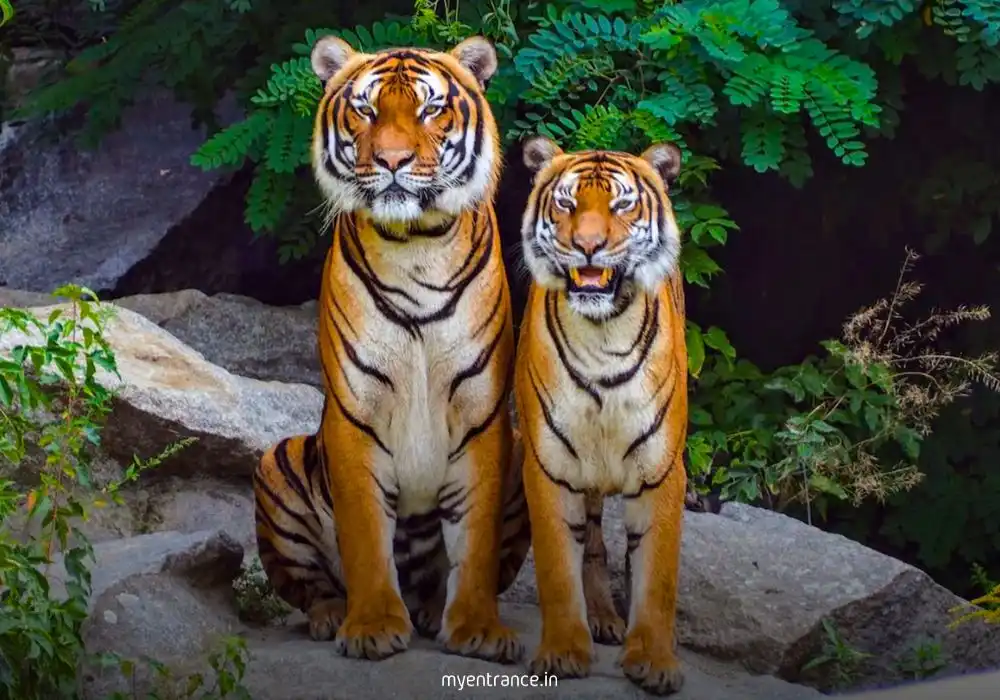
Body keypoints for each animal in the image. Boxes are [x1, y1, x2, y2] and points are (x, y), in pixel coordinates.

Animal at [252, 35, 530, 665]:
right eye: (366, 109)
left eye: (430, 110)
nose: (393, 161)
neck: (416, 244)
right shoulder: (356, 412)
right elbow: (363, 533)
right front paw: (373, 626)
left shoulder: (481, 416)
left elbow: (474, 543)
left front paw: (477, 628)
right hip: (278, 460)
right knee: (309, 586)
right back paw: (334, 615)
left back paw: (431, 609)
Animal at [513, 136, 689, 695]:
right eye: (567, 204)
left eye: (621, 205)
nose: (588, 246)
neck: (603, 335)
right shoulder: (548, 466)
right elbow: (556, 566)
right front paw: (564, 651)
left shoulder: (662, 472)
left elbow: (657, 578)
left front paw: (654, 662)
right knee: (590, 542)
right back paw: (602, 618)